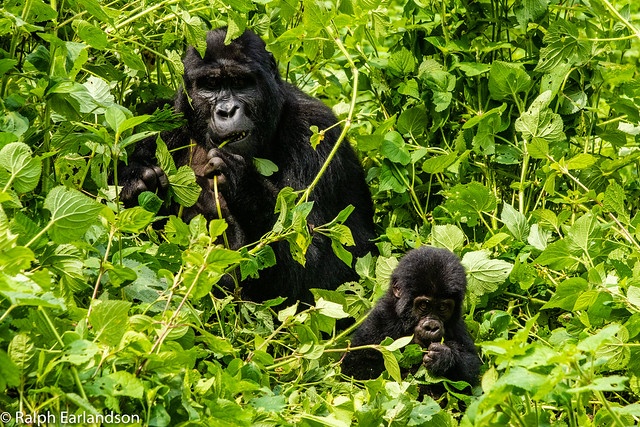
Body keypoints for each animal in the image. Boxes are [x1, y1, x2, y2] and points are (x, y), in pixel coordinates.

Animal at [120, 28, 376, 304]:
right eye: (210, 85)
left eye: (241, 83)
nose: (227, 110)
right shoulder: (157, 119)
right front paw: (136, 182)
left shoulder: (315, 132)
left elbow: (311, 264)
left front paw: (243, 184)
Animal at [342, 246, 478, 390]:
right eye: (423, 305)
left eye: (442, 307)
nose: (431, 326)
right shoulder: (381, 318)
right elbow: (358, 367)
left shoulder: (457, 325)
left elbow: (471, 368)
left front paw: (444, 357)